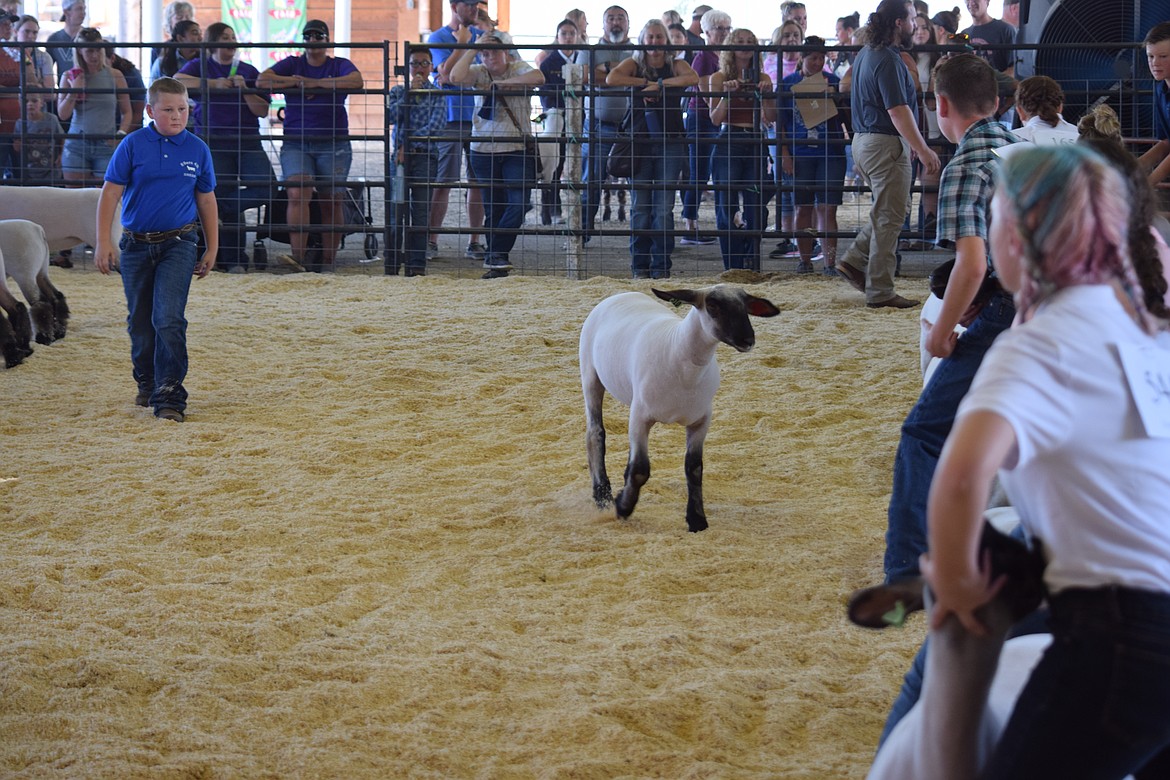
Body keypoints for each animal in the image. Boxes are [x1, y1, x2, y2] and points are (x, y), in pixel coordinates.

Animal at [575, 284, 776, 533]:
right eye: (712, 305)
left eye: (746, 307)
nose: (747, 339)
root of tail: (621, 294)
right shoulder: (641, 416)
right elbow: (640, 469)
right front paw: (623, 507)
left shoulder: (701, 420)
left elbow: (694, 468)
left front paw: (697, 519)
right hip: (590, 375)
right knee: (595, 433)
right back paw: (602, 496)